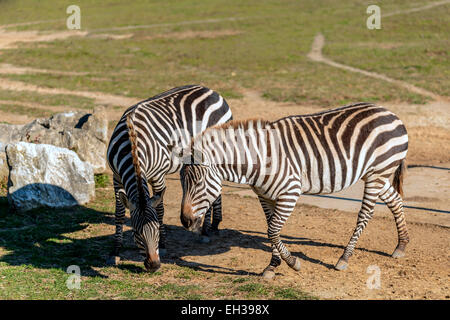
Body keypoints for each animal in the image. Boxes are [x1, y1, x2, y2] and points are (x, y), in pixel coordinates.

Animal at [106, 84, 232, 270]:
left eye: (157, 230)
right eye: (136, 232)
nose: (154, 265)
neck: (132, 143)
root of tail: (211, 90)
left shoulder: (158, 177)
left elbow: (160, 210)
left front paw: (164, 246)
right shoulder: (117, 177)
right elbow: (120, 213)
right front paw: (115, 251)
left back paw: (205, 231)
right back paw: (214, 224)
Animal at [178, 102, 408, 278]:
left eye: (198, 182)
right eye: (183, 183)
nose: (185, 221)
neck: (259, 160)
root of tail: (390, 113)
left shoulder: (290, 193)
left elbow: (272, 230)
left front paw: (292, 263)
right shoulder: (264, 196)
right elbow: (271, 229)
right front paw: (272, 266)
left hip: (377, 173)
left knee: (366, 213)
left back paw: (344, 258)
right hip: (376, 174)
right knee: (395, 200)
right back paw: (401, 245)